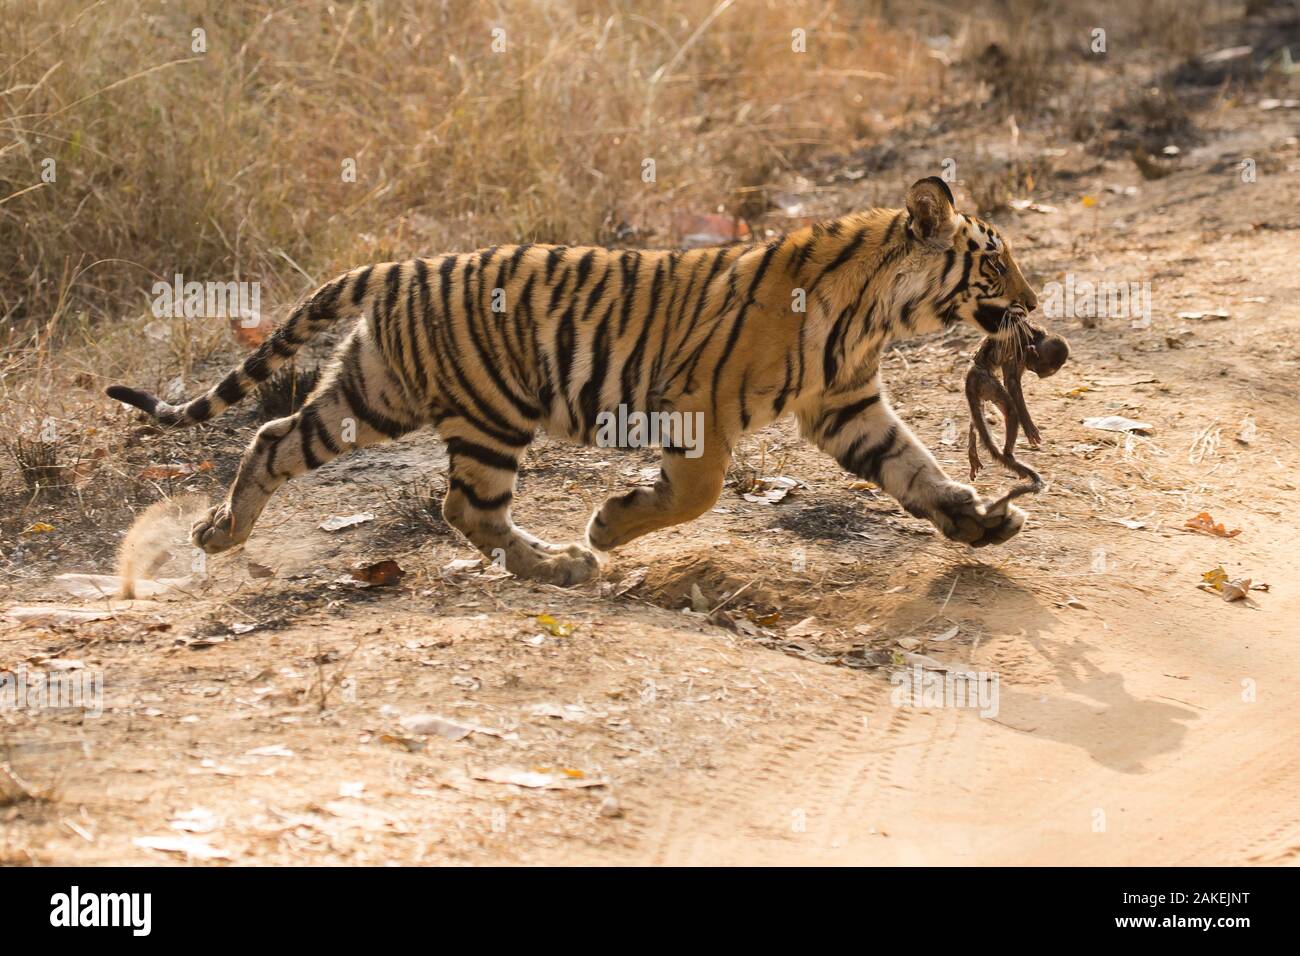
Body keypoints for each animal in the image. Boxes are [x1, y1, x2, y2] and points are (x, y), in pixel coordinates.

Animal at [967, 321, 1066, 512]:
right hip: (986, 382)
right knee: (1010, 409)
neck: (1035, 335)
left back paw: (973, 442)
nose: (1039, 374)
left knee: (981, 414)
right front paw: (1029, 427)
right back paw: (1007, 454)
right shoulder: (1020, 347)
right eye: (1043, 369)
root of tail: (974, 371)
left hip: (983, 386)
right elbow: (1012, 381)